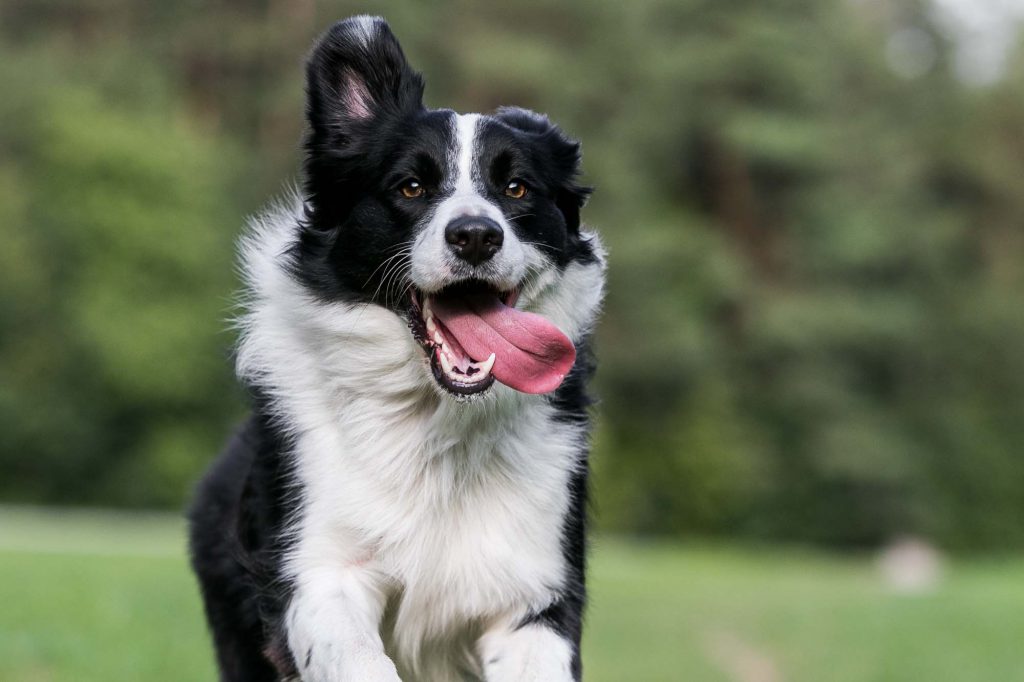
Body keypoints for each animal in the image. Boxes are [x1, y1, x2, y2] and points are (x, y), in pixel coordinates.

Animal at [189, 15, 602, 679]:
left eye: (516, 188)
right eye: (410, 187)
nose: (475, 236)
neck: (436, 420)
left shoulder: (533, 589)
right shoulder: (315, 569)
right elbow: (356, 653)